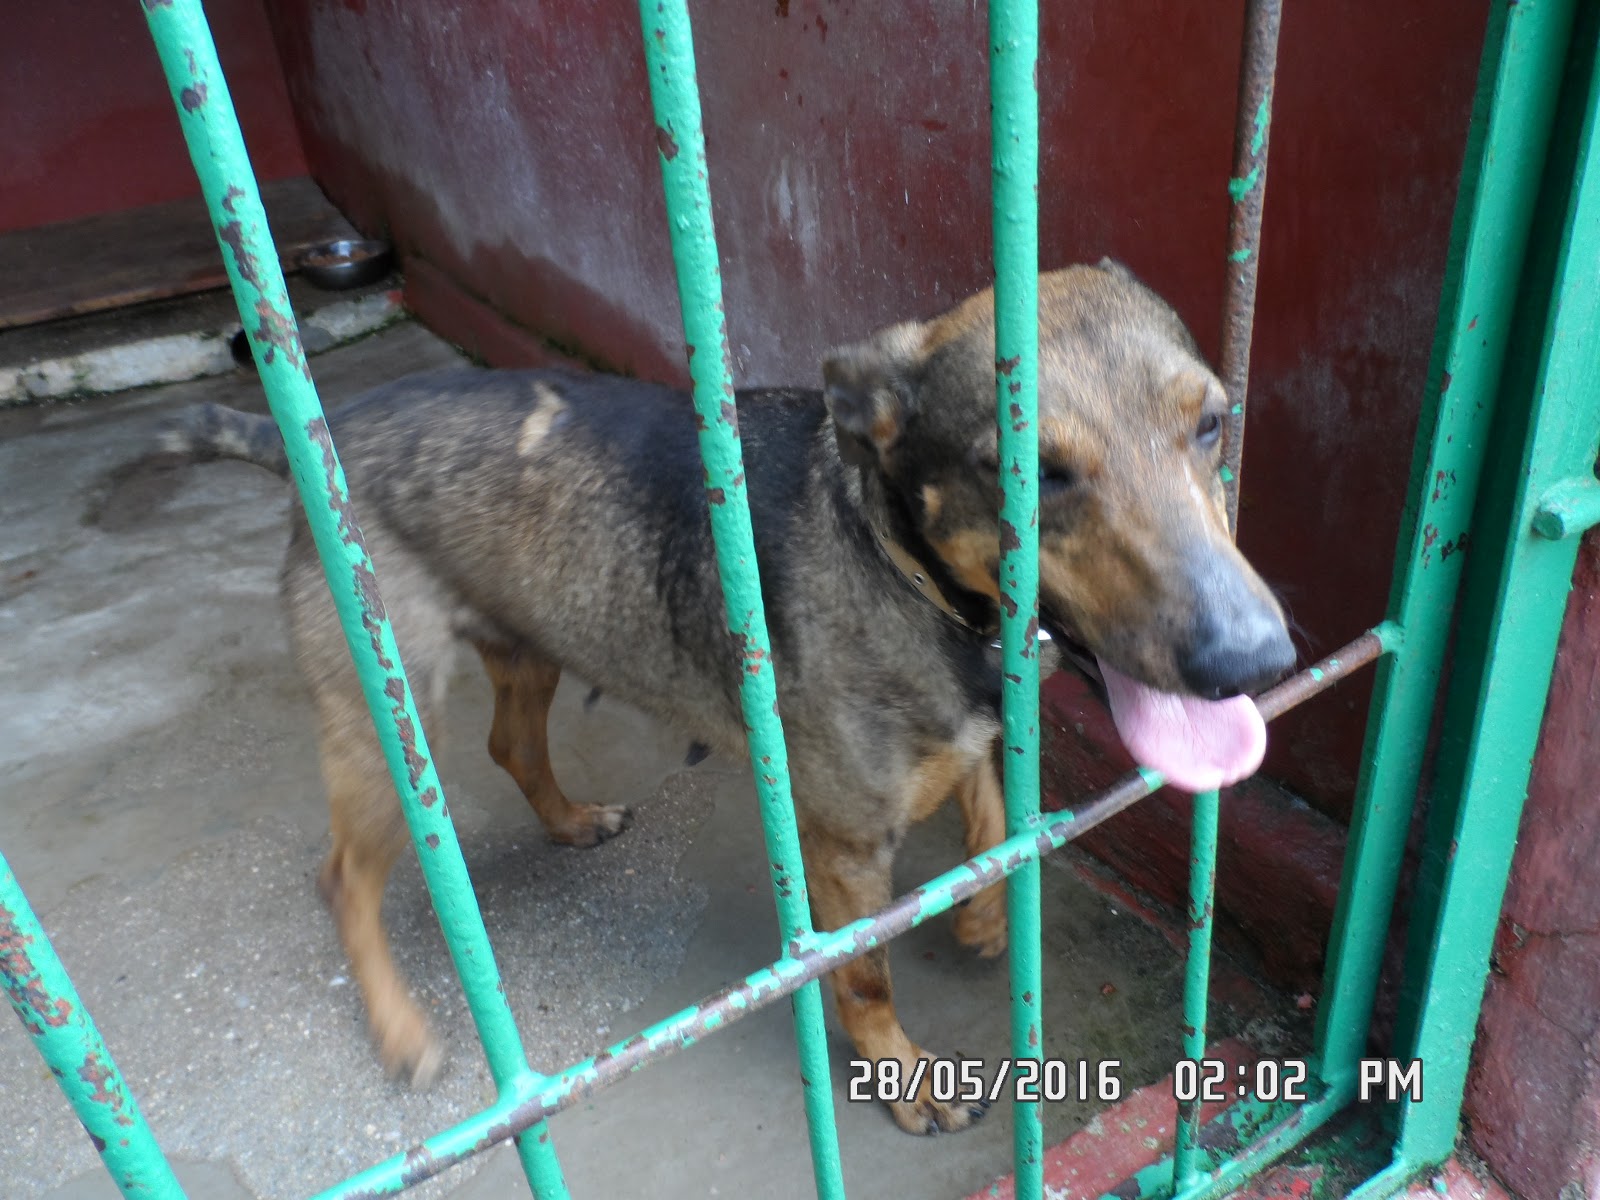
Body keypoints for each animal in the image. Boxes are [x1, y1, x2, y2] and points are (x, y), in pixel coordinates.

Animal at [150, 261, 1293, 1134]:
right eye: (1032, 474)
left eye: (1212, 422)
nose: (1256, 658)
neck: (904, 567)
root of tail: (315, 435)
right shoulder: (842, 847)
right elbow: (866, 975)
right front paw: (905, 1075)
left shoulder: (970, 731)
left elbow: (992, 812)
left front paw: (977, 916)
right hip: (389, 726)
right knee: (342, 875)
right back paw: (400, 1031)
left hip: (531, 643)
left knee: (512, 745)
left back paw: (569, 821)